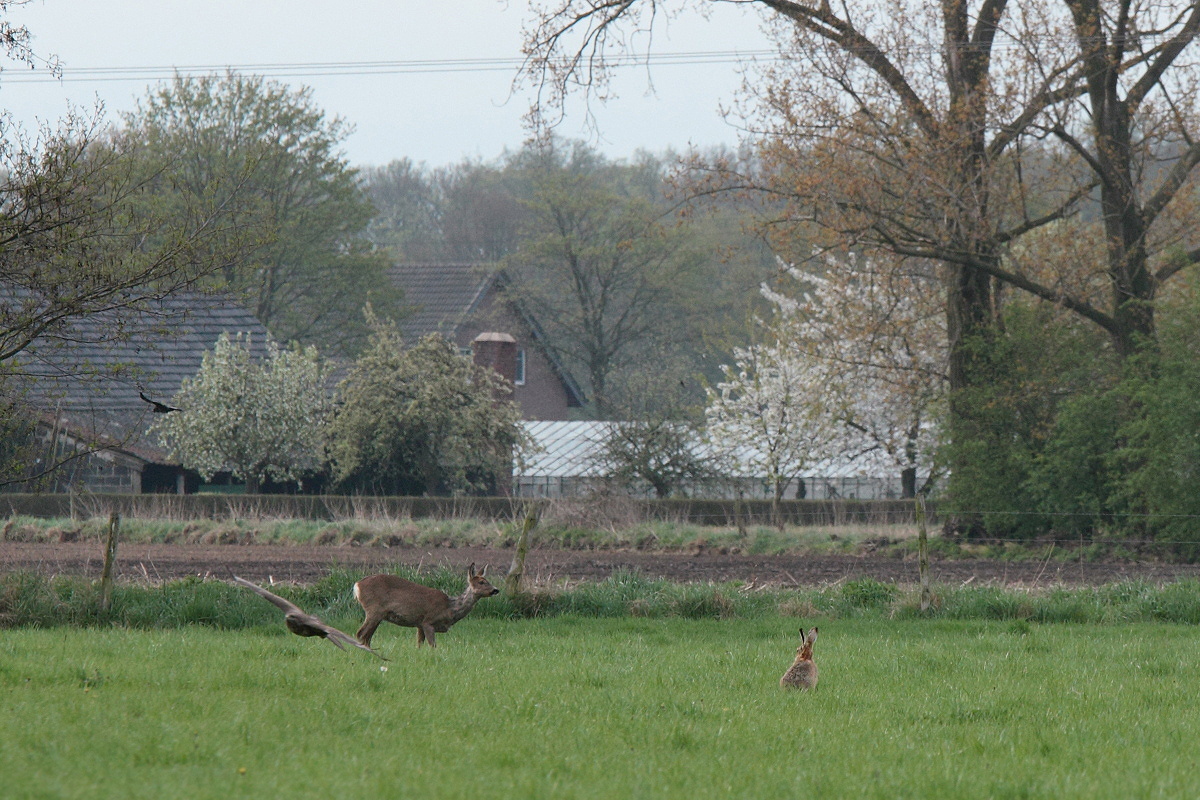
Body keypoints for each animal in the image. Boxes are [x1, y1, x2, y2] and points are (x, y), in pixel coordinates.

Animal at [350, 566, 496, 647]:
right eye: (481, 582)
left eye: (488, 580)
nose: (496, 590)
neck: (450, 608)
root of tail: (357, 585)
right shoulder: (428, 622)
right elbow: (433, 646)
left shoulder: (419, 624)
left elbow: (419, 644)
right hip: (374, 610)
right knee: (361, 633)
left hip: (378, 615)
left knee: (367, 636)